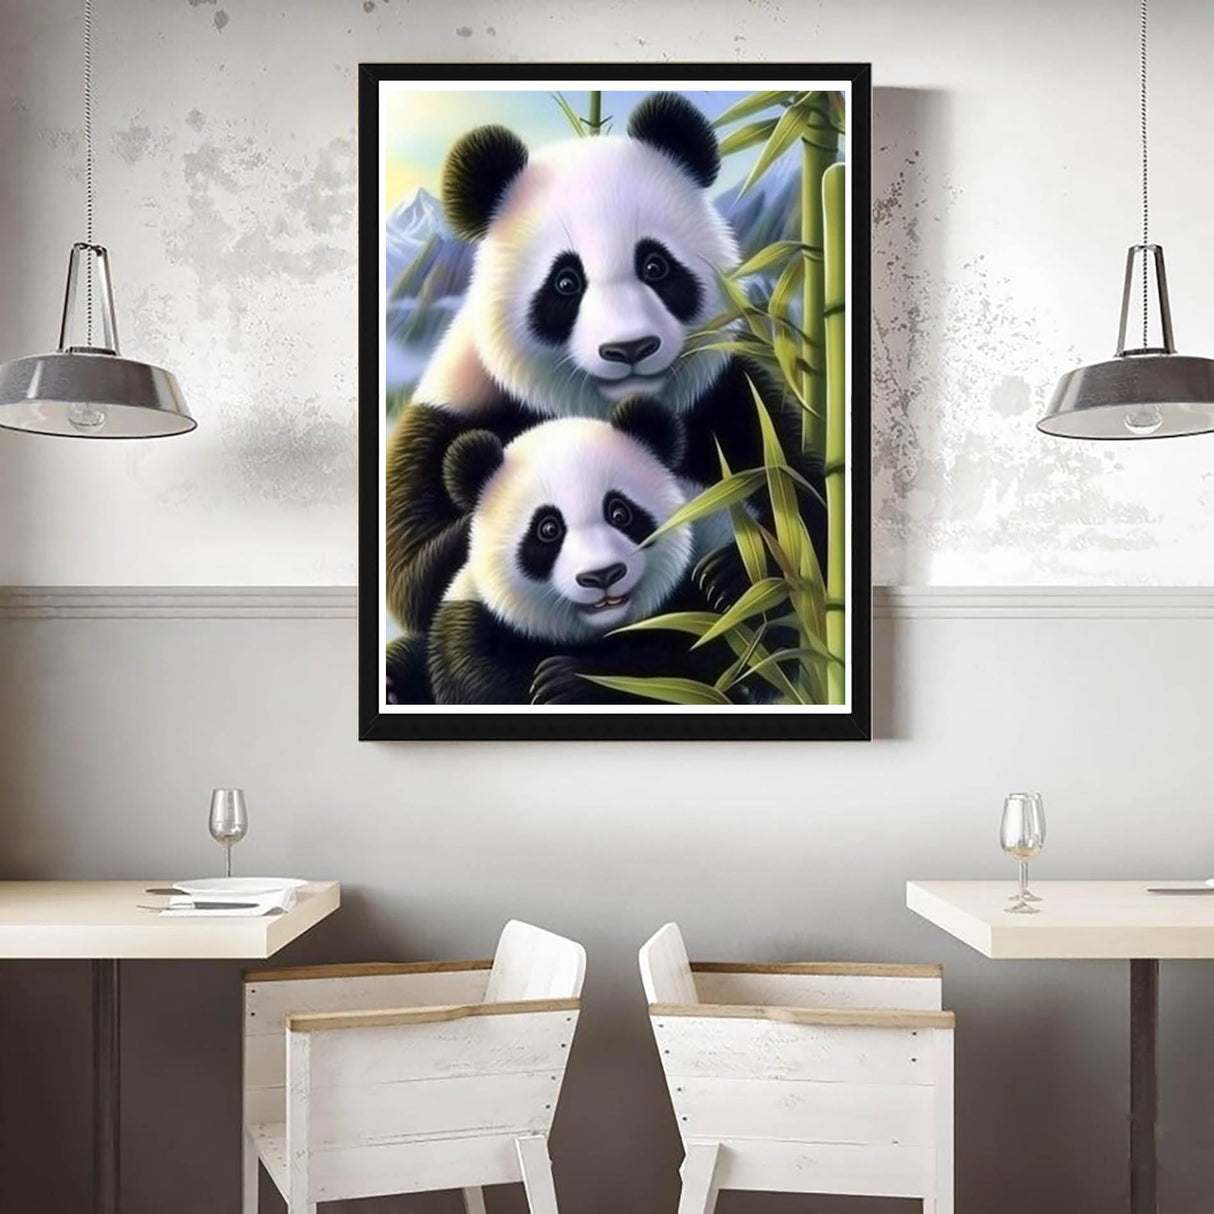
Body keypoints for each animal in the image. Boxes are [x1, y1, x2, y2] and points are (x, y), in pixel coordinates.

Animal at [385, 90, 826, 637]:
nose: (630, 348)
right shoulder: (456, 412)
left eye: (655, 266)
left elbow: (809, 506)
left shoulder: (731, 394)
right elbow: (413, 577)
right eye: (566, 282)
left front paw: (732, 573)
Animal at [387, 399, 734, 705]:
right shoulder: (473, 620)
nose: (602, 575)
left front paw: (567, 683)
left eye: (619, 513)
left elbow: (699, 659)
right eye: (548, 529)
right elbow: (480, 681)